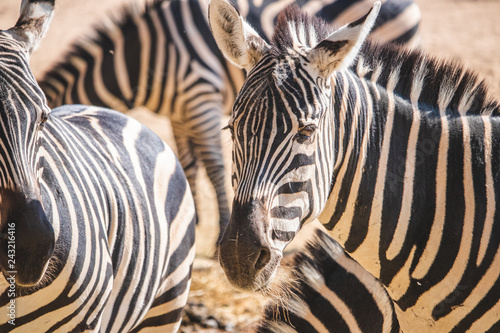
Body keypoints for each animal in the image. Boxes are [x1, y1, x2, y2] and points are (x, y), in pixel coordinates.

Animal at [38, 0, 422, 244]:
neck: (146, 56)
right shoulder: (179, 112)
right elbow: (189, 165)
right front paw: (190, 222)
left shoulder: (200, 96)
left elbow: (214, 167)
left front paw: (214, 232)